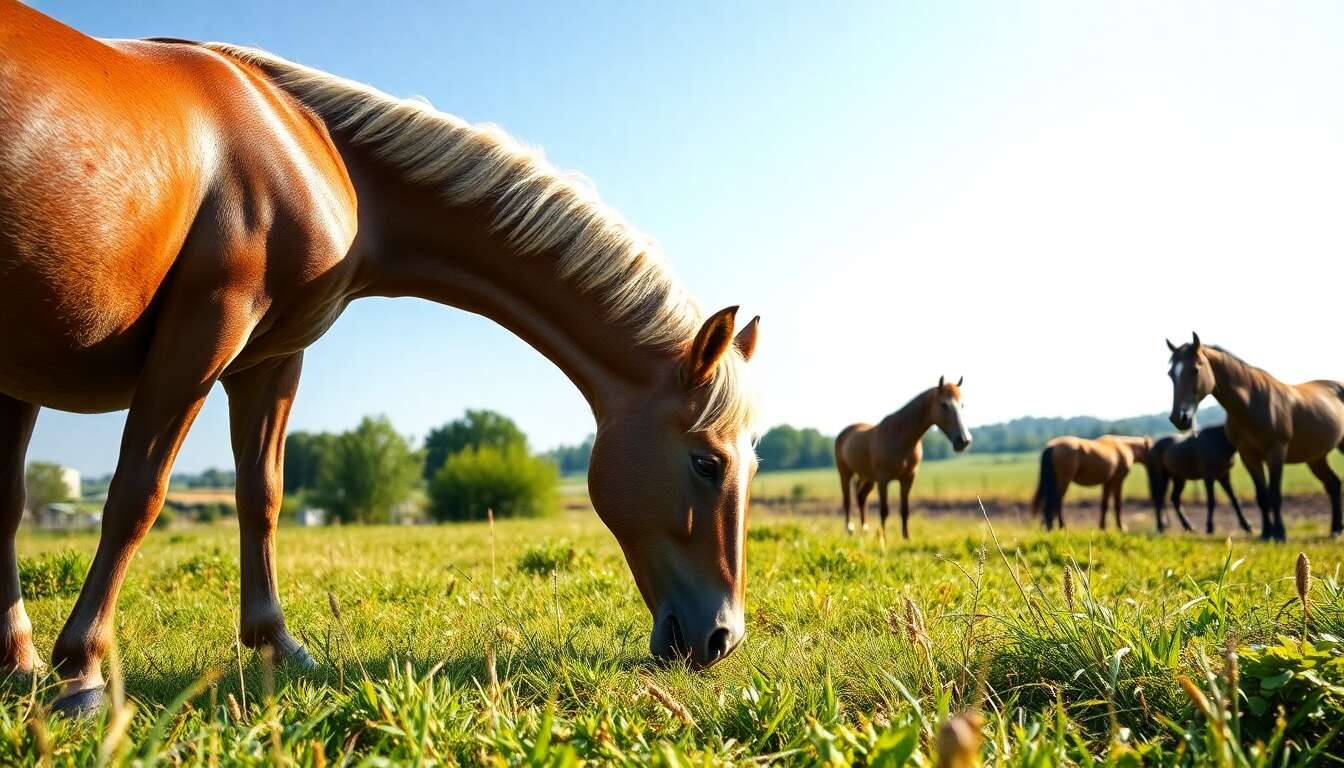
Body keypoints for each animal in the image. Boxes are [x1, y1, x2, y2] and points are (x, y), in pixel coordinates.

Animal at [0, 3, 761, 713]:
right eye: (707, 462)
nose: (723, 638)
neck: (310, 149)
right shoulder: (206, 332)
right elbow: (137, 494)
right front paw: (79, 671)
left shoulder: (266, 360)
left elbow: (258, 493)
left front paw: (272, 643)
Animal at [833, 377, 972, 541]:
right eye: (944, 404)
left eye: (962, 405)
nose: (963, 440)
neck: (900, 439)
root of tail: (845, 432)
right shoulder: (883, 480)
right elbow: (884, 510)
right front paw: (883, 538)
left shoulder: (908, 478)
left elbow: (905, 509)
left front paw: (906, 537)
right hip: (845, 473)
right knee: (847, 501)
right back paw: (849, 529)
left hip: (867, 477)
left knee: (861, 498)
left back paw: (865, 530)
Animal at [1167, 333, 1344, 540]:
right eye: (1171, 374)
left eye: (1195, 369)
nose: (1179, 418)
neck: (1252, 404)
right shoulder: (1248, 456)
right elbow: (1262, 496)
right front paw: (1266, 534)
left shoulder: (1276, 452)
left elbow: (1274, 495)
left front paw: (1280, 534)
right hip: (1316, 457)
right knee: (1333, 484)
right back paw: (1335, 530)